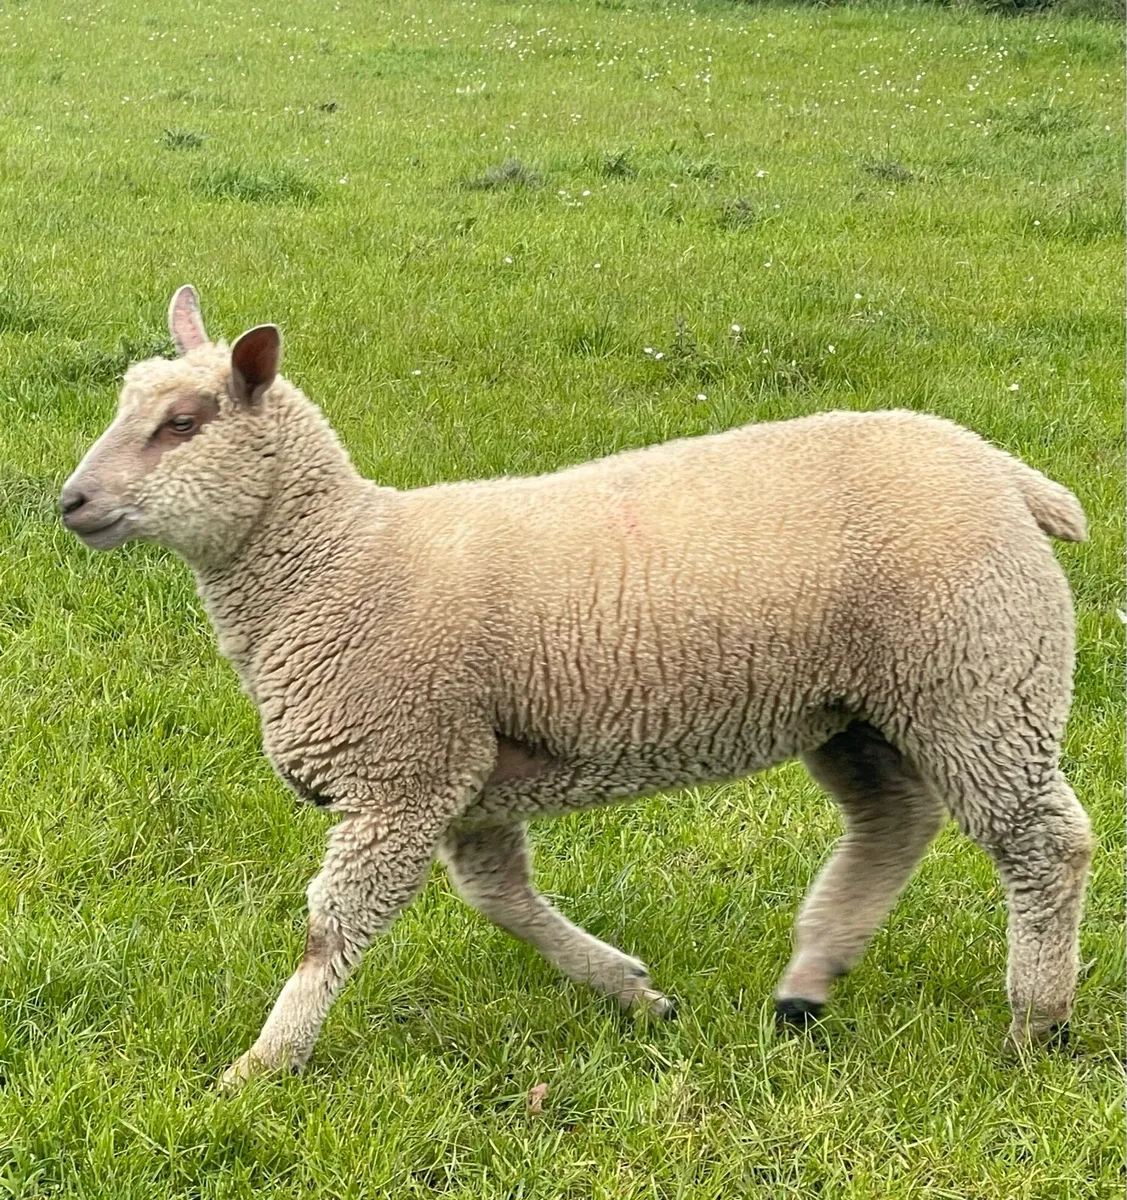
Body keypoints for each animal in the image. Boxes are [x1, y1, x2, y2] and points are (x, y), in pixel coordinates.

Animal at [59, 285, 1093, 1086]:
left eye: (183, 425)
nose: (69, 502)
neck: (336, 563)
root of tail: (1001, 470)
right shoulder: (464, 773)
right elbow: (500, 900)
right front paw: (631, 992)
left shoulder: (402, 773)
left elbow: (333, 929)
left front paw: (260, 1067)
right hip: (862, 707)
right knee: (894, 820)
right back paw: (809, 983)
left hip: (980, 676)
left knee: (1045, 845)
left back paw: (1035, 1025)